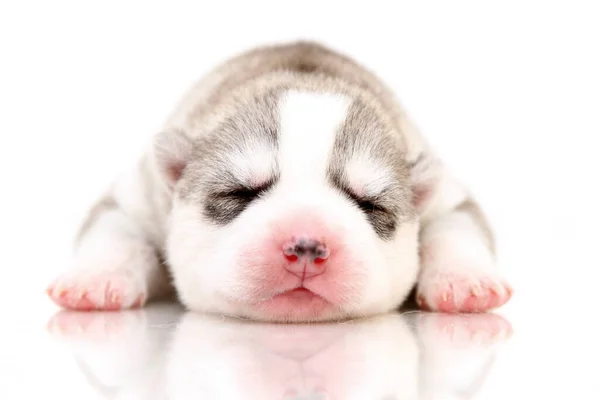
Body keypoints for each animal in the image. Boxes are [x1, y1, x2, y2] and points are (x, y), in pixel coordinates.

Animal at [48, 41, 516, 322]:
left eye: (369, 204)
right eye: (239, 192)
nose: (306, 246)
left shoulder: (445, 195)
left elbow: (456, 225)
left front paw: (465, 282)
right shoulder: (142, 195)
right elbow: (116, 226)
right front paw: (96, 279)